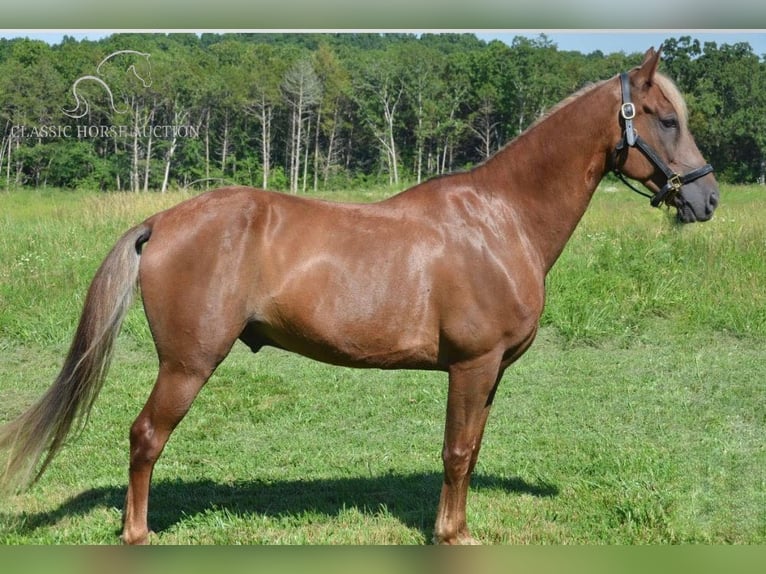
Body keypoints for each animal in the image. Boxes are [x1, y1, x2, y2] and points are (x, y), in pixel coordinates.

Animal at [0, 47, 720, 548]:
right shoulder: (472, 365)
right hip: (187, 364)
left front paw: (459, 529)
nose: (707, 197)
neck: (500, 219)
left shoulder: (489, 373)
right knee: (146, 437)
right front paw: (449, 537)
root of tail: (163, 221)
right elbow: (456, 453)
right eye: (664, 119)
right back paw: (138, 534)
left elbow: (471, 451)